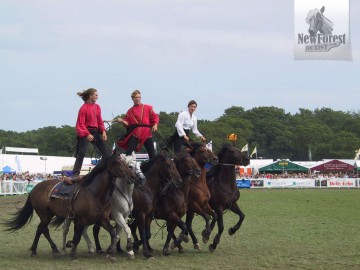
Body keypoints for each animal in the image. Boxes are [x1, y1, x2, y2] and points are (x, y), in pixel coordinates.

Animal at [3, 154, 135, 262]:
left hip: (50, 214)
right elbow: (76, 237)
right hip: (44, 214)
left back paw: (42, 250)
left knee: (41, 229)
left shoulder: (103, 219)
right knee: (43, 229)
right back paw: (49, 250)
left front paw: (112, 254)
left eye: (125, 162)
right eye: (117, 162)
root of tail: (35, 188)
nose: (132, 176)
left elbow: (113, 233)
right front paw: (73, 255)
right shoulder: (81, 220)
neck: (94, 193)